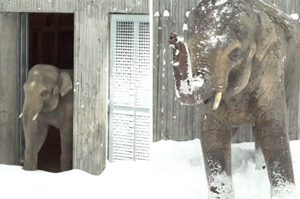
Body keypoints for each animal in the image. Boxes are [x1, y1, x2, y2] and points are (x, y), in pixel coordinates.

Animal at [169, 0, 300, 198]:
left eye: (235, 54)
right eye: (190, 50)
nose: (173, 38)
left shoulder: (271, 70)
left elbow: (273, 130)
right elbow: (213, 135)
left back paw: (260, 170)